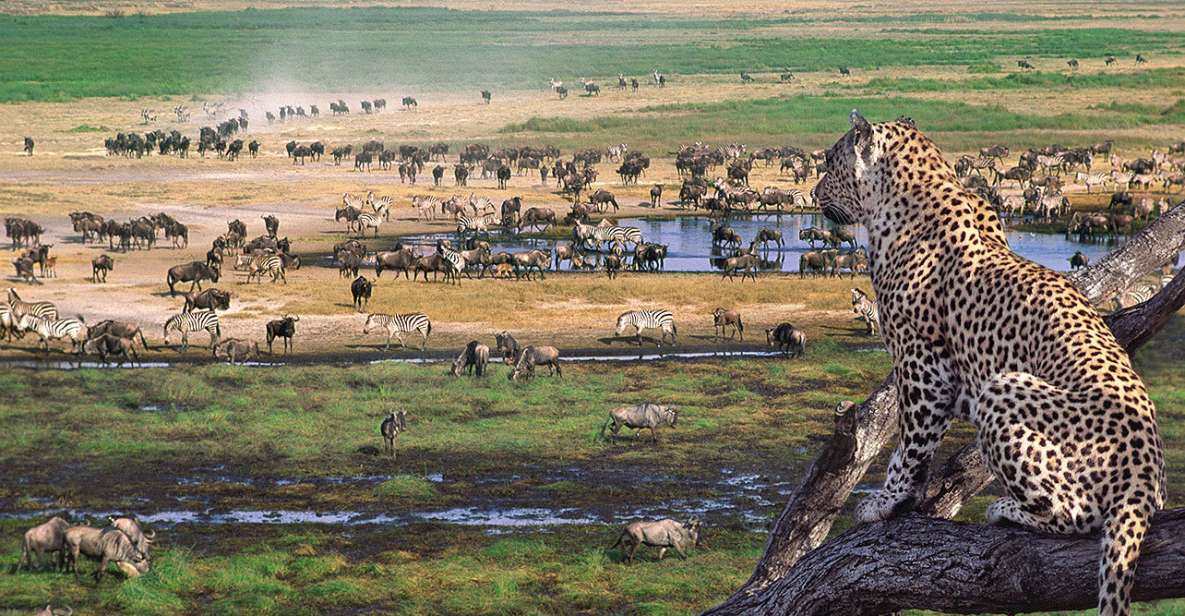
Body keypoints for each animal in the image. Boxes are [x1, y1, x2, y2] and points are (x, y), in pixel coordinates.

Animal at [815, 111, 1166, 616]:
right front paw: (902, 498)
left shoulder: (922, 363)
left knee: (1079, 515)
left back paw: (1006, 510)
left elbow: (910, 443)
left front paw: (889, 501)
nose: (814, 192)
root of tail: (1144, 473)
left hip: (1001, 390)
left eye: (830, 161)